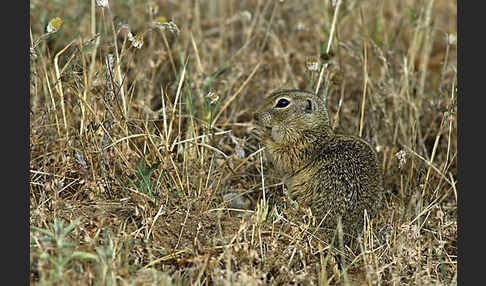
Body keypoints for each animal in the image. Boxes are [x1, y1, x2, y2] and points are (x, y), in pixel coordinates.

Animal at [254, 88, 384, 242]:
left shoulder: (300, 148)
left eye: (283, 103)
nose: (256, 115)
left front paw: (261, 134)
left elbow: (282, 156)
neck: (310, 129)